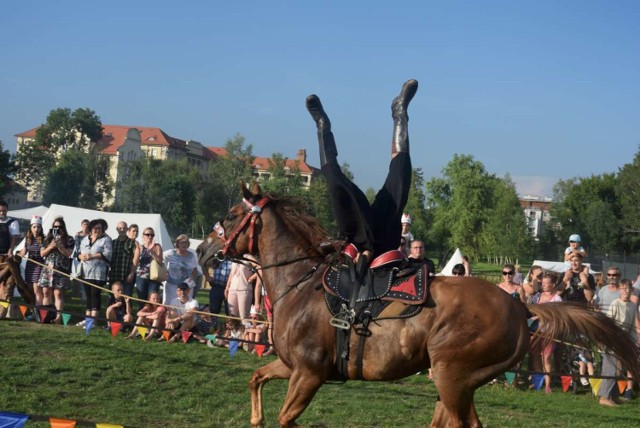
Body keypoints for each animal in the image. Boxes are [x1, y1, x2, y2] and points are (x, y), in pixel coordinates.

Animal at [199, 182, 640, 426]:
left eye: (232, 214)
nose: (204, 250)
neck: (301, 284)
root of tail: (521, 309)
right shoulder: (292, 366)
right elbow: (256, 379)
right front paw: (254, 417)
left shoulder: (309, 373)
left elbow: (285, 416)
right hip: (457, 384)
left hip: (451, 378)